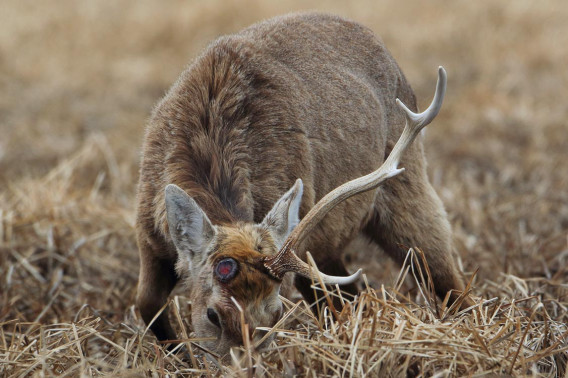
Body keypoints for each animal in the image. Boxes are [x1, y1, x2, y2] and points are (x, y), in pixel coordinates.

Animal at [135, 12, 468, 358]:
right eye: (212, 315)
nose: (245, 364)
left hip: (406, 184)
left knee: (441, 271)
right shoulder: (148, 234)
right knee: (350, 292)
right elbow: (146, 303)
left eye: (275, 314)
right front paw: (176, 353)